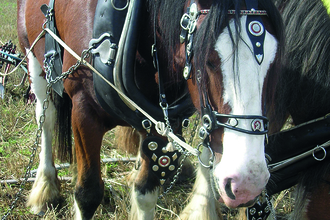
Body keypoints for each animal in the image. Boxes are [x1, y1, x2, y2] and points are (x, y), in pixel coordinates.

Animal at [16, 0, 282, 218]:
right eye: (208, 60)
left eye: (274, 61)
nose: (247, 183)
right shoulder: (84, 112)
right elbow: (87, 194)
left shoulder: (163, 124)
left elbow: (146, 192)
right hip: (34, 59)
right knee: (46, 118)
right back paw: (45, 187)